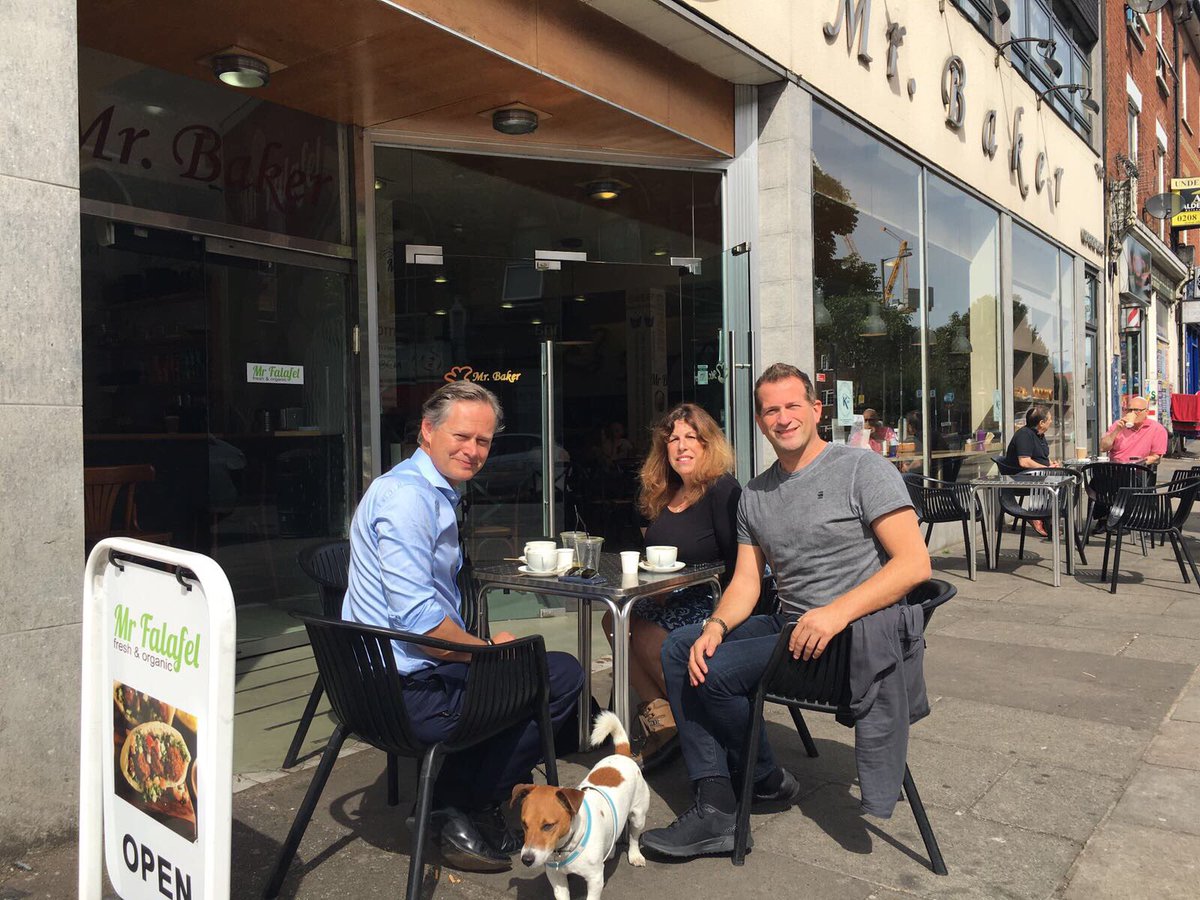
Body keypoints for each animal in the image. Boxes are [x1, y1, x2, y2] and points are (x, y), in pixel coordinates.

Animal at [511, 711, 650, 900]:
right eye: (524, 824)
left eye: (548, 826)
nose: (526, 859)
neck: (565, 847)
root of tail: (622, 754)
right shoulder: (556, 877)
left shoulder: (595, 879)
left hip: (638, 816)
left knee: (634, 837)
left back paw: (635, 855)